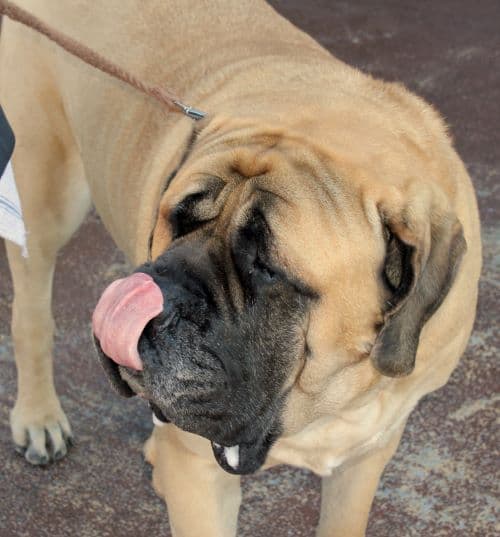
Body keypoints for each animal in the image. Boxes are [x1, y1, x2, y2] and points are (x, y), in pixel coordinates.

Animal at [0, 1, 484, 536]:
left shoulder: (368, 452)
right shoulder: (200, 473)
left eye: (266, 268)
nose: (161, 297)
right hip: (43, 196)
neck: (326, 398)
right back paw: (38, 417)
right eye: (177, 222)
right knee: (31, 315)